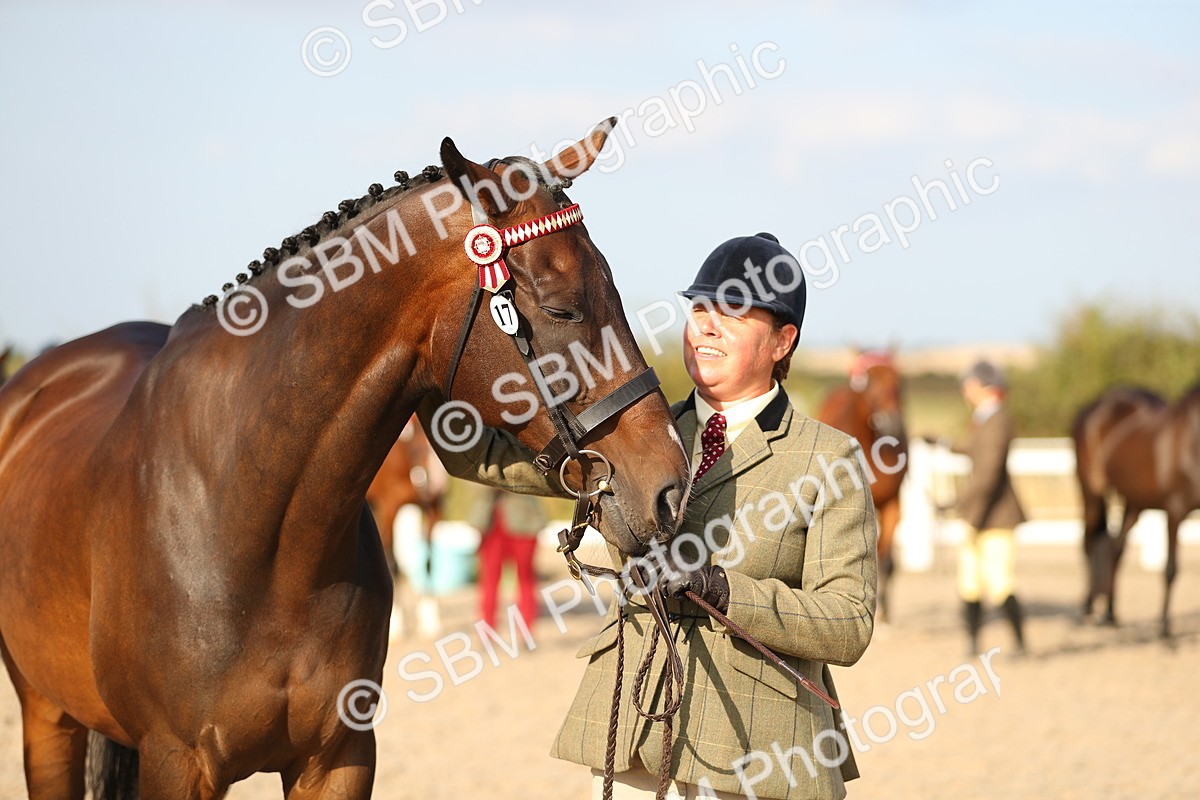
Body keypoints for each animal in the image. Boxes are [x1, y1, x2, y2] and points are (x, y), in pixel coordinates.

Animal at [0, 119, 690, 799]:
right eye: (559, 308)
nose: (671, 487)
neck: (254, 525)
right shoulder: (176, 763)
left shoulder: (340, 757)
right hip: (46, 717)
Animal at [817, 350, 908, 622]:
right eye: (867, 382)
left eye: (900, 380)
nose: (891, 421)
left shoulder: (892, 503)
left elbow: (886, 560)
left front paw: (885, 613)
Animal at [1073, 384, 1200, 638]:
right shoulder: (1175, 511)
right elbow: (1170, 569)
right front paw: (1165, 630)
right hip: (1091, 492)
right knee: (1089, 543)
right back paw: (1088, 609)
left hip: (1133, 503)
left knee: (1115, 548)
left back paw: (1110, 615)